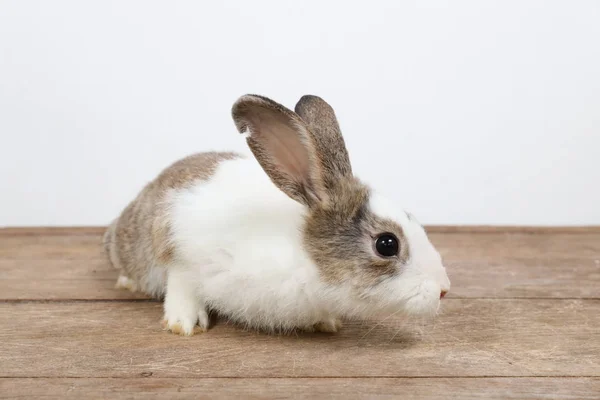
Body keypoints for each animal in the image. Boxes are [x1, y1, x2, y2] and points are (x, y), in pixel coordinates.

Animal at [104, 93, 450, 334]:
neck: (302, 254)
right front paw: (184, 324)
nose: (444, 290)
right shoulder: (180, 250)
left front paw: (327, 323)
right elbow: (180, 286)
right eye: (387, 244)